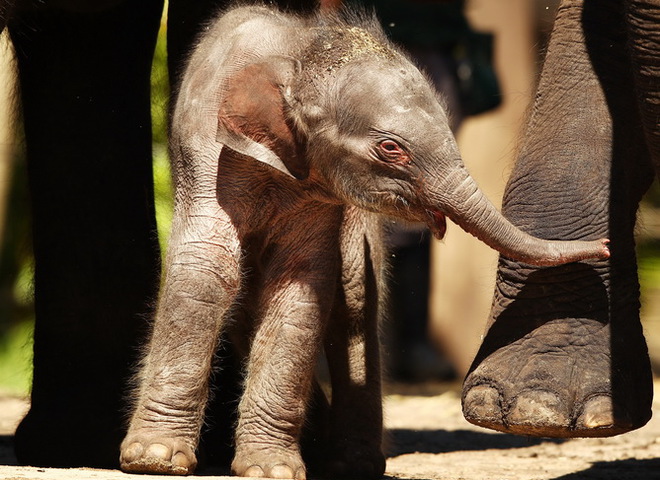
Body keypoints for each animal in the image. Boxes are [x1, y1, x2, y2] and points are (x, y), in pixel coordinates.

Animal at [120, 4, 608, 480]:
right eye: (391, 149)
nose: (605, 246)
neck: (300, 54)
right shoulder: (206, 152)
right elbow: (208, 269)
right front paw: (154, 459)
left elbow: (300, 289)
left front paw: (271, 469)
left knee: (354, 304)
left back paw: (352, 464)